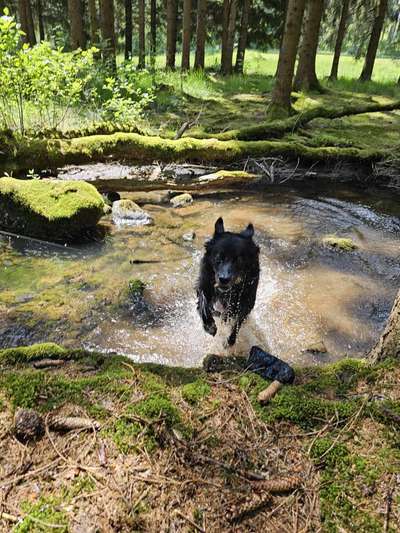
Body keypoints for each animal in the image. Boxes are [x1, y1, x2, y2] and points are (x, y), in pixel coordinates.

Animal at [196, 217, 260, 348]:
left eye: (239, 259)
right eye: (218, 257)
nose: (224, 279)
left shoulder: (247, 300)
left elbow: (236, 320)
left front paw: (229, 340)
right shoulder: (204, 285)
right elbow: (204, 303)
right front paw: (209, 325)